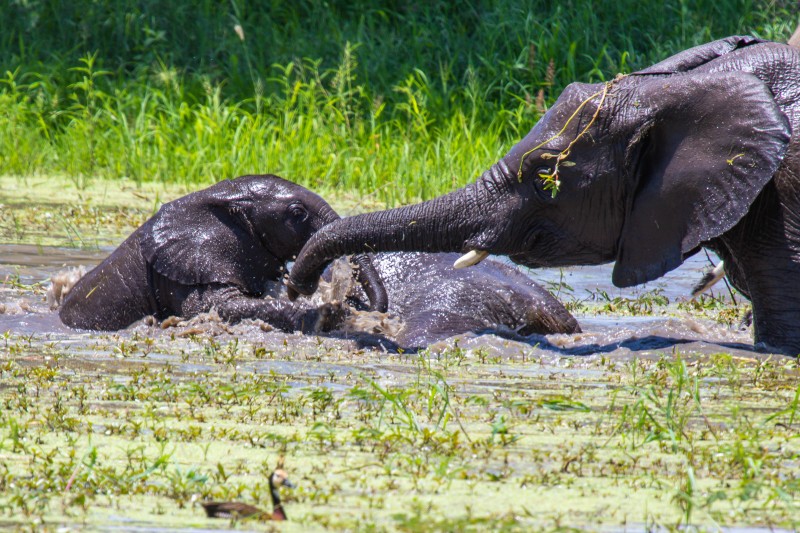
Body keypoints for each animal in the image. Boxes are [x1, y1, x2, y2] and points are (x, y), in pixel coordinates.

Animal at [59, 175, 388, 330]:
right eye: (297, 214)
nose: (367, 306)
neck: (219, 195)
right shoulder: (187, 272)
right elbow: (212, 307)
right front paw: (328, 315)